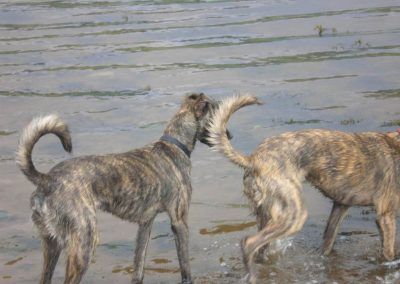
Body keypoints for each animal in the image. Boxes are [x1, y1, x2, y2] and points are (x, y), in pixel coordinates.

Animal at [16, 93, 228, 284]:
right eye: (216, 117)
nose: (230, 136)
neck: (174, 144)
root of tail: (47, 179)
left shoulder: (145, 224)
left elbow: (138, 267)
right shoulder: (179, 221)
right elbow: (185, 267)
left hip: (52, 243)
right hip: (84, 242)